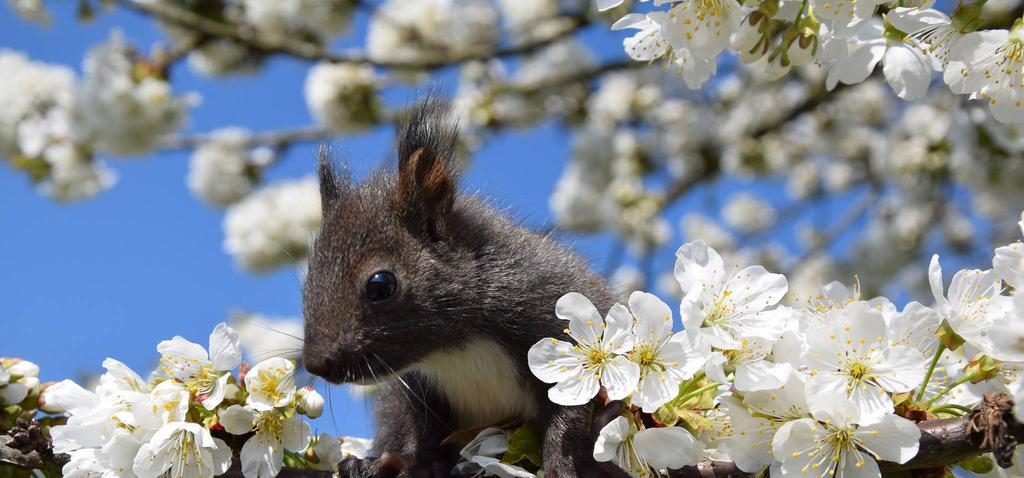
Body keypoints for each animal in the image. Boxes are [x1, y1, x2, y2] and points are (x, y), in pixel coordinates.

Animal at [299, 98, 626, 478]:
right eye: (306, 284)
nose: (316, 364)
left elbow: (570, 410)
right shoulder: (416, 387)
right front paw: (402, 463)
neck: (455, 347)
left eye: (380, 285)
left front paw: (564, 463)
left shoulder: (553, 317)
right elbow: (419, 429)